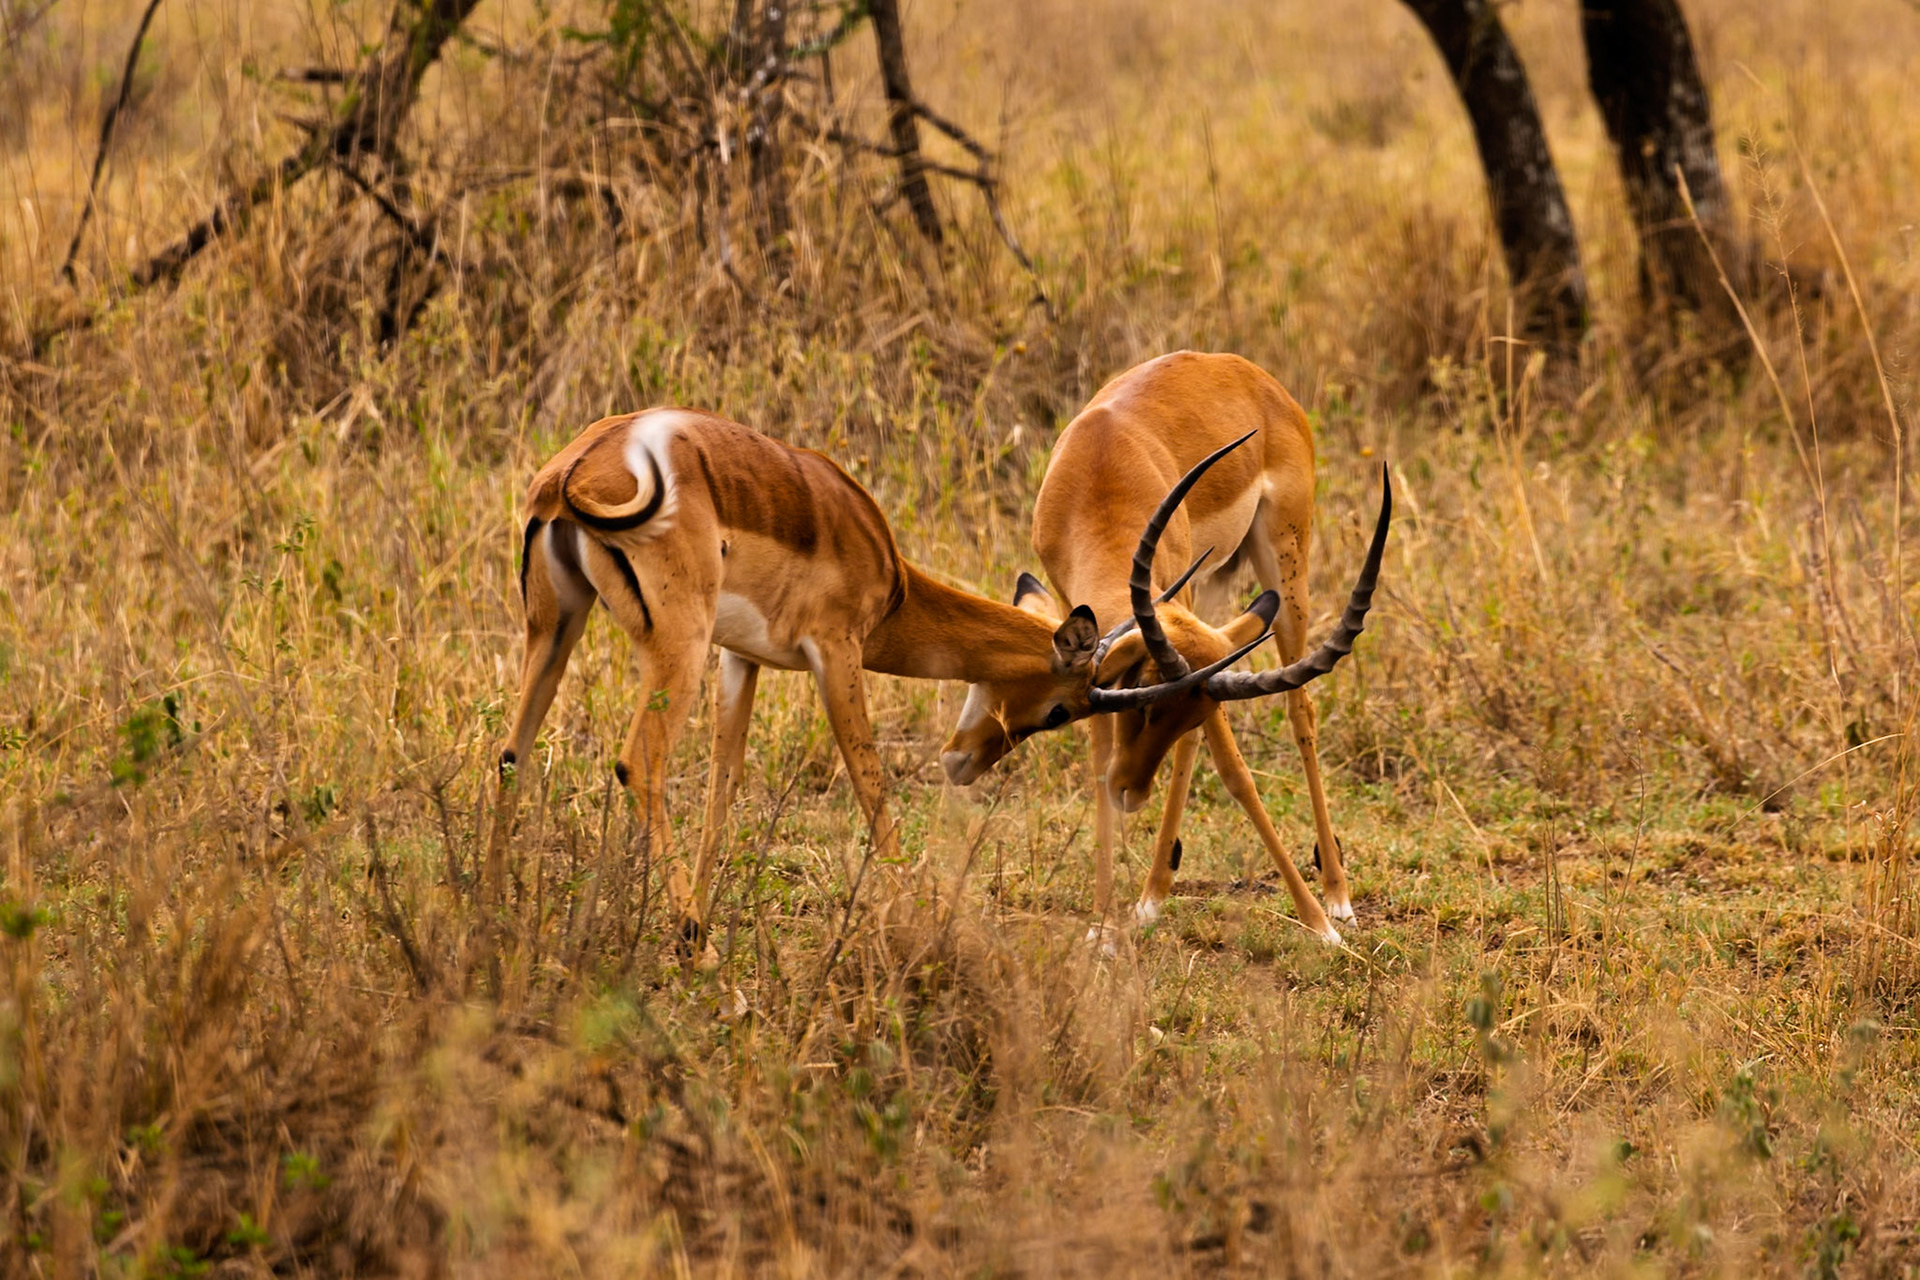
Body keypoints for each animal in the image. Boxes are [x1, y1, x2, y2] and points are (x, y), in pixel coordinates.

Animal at [960, 352, 1393, 944]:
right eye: (1140, 699)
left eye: (1173, 709)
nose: (1130, 792)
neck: (1100, 474)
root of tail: (1249, 373)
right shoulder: (1090, 632)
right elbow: (1100, 756)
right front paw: (1102, 925)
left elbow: (1235, 772)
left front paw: (1319, 925)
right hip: (1217, 591)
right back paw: (1151, 896)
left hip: (1284, 566)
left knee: (1300, 709)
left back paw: (1336, 894)